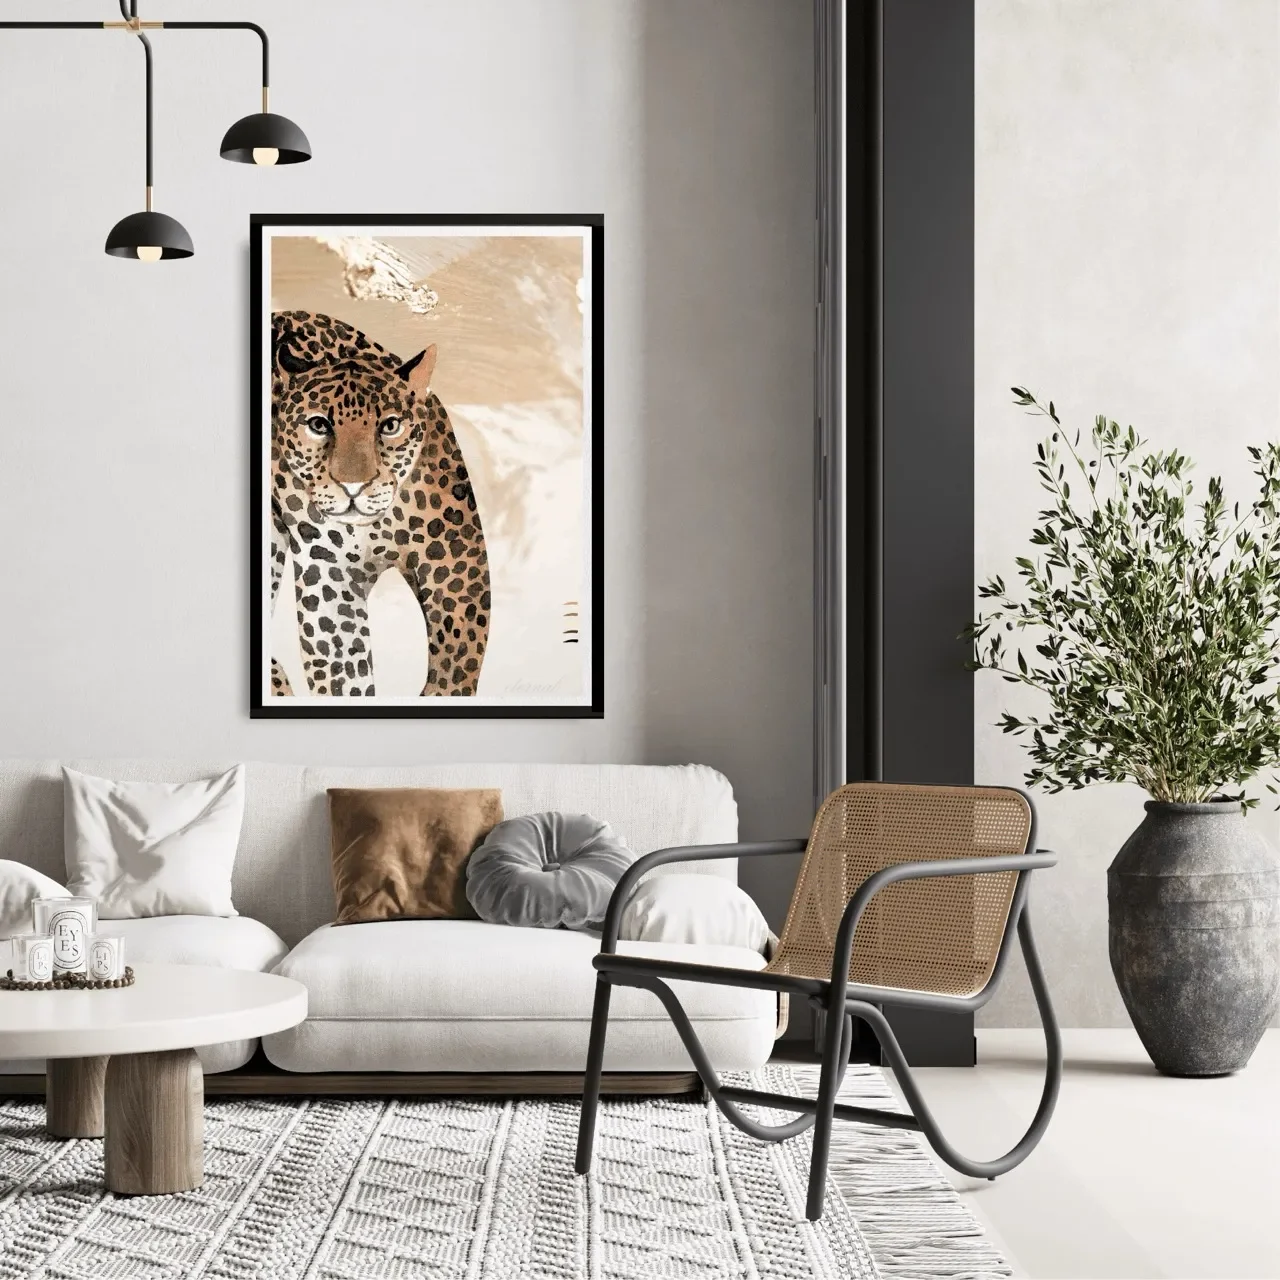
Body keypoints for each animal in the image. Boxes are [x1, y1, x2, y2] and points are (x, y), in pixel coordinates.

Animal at [269, 309, 490, 699]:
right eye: (318, 425)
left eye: (389, 426)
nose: (353, 486)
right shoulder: (331, 579)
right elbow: (344, 673)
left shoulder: (457, 560)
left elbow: (457, 661)